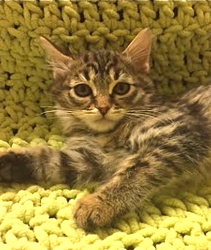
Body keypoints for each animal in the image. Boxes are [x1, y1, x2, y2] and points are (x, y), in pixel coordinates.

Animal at [0, 27, 211, 230]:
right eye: (82, 90)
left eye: (121, 88)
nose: (103, 107)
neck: (107, 136)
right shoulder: (90, 160)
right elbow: (47, 157)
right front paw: (7, 160)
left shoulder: (175, 135)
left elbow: (135, 172)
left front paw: (97, 205)